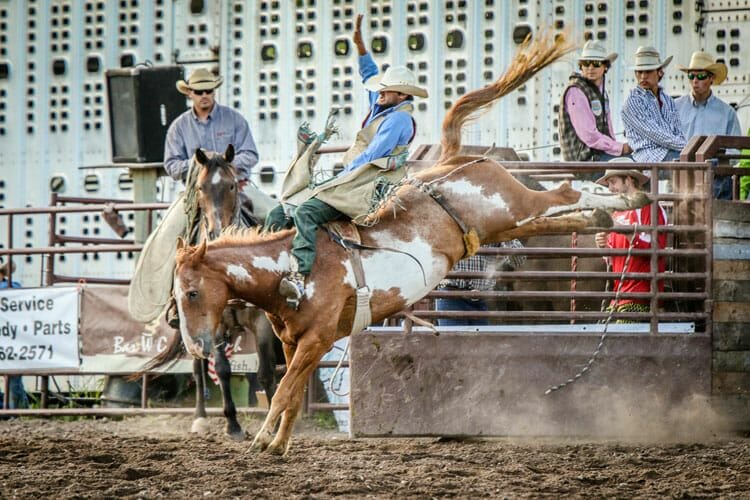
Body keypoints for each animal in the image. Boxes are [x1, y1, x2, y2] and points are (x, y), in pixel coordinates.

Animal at [173, 31, 648, 454]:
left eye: (192, 292)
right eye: (176, 297)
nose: (196, 346)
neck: (286, 267)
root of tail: (454, 160)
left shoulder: (317, 339)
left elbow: (286, 390)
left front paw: (261, 439)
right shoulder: (295, 343)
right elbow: (289, 392)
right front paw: (277, 445)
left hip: (510, 203)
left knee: (564, 192)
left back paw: (629, 198)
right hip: (504, 224)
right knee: (545, 220)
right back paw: (605, 215)